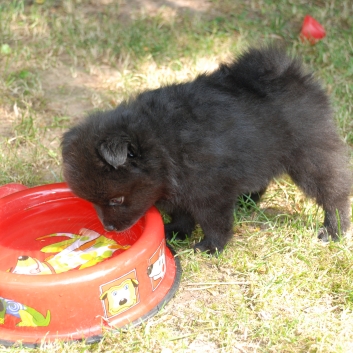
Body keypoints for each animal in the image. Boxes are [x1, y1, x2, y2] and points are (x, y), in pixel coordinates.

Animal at [62, 46, 350, 253]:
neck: (162, 142)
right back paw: (247, 200)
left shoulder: (209, 189)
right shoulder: (179, 187)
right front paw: (177, 231)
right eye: (93, 202)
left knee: (333, 191)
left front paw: (211, 247)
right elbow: (182, 212)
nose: (109, 227)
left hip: (310, 153)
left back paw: (334, 230)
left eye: (116, 200)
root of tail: (291, 75)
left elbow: (214, 221)